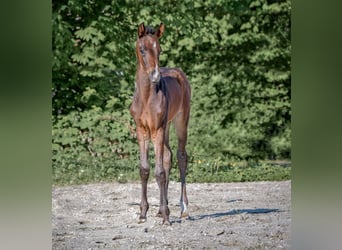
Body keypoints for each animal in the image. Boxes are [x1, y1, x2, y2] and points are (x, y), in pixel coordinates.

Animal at [130, 22, 191, 225]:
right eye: (142, 49)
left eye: (160, 49)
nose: (155, 76)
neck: (146, 97)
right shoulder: (142, 131)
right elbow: (145, 169)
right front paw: (143, 213)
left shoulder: (156, 129)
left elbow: (159, 172)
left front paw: (166, 215)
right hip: (166, 127)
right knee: (168, 156)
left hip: (180, 121)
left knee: (181, 156)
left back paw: (183, 208)